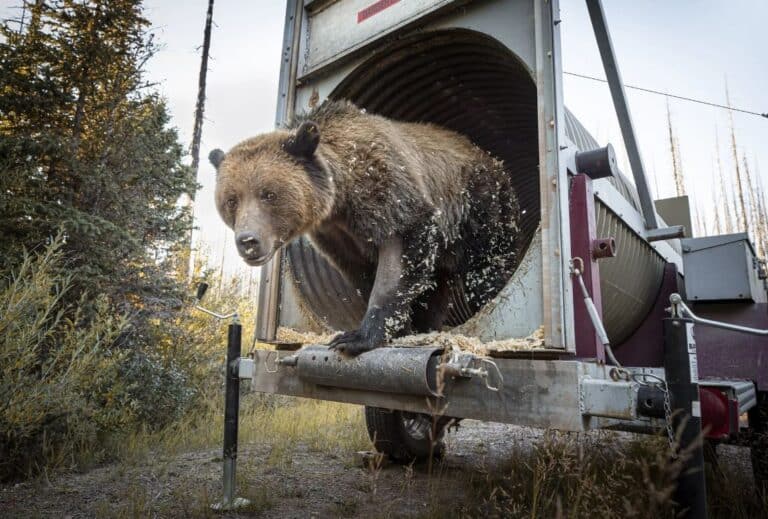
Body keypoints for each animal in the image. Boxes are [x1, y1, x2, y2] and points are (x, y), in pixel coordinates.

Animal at [210, 100, 520, 356]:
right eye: (231, 200)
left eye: (269, 194)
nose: (248, 241)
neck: (341, 198)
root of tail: (494, 162)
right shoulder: (337, 236)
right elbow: (362, 273)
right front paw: (402, 328)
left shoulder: (389, 196)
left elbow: (396, 264)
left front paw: (357, 337)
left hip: (481, 208)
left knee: (488, 268)